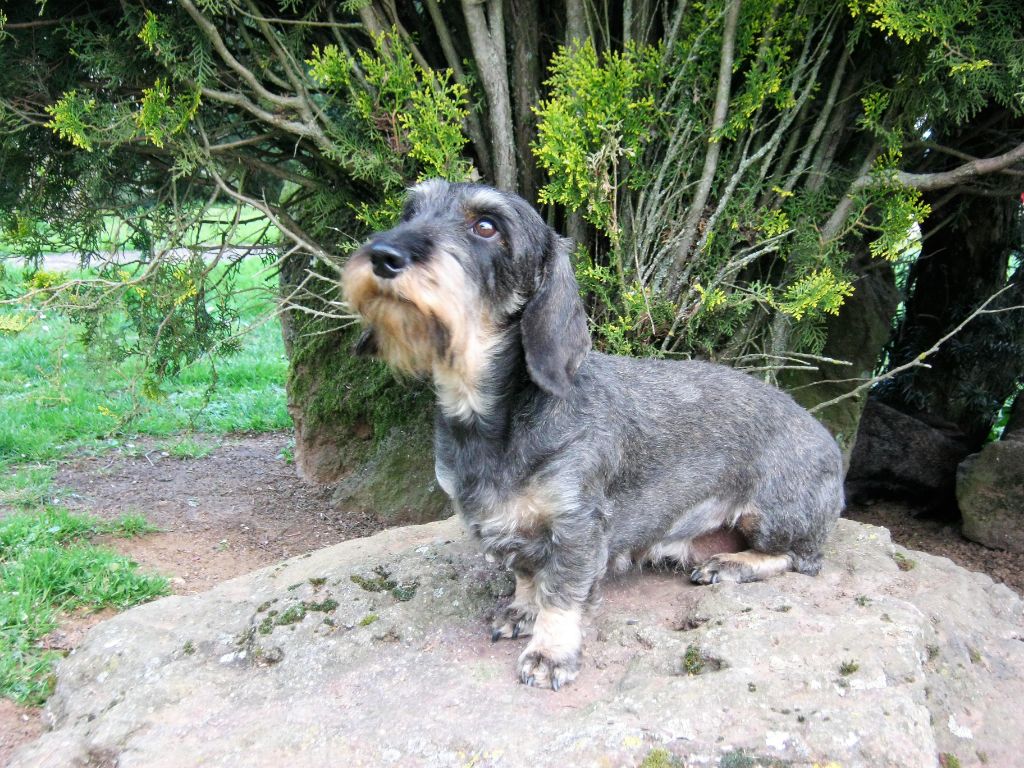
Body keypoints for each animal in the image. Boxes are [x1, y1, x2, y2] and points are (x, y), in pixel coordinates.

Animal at [339, 179, 843, 692]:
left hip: (773, 516)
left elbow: (561, 593)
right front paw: (522, 610)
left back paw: (732, 564)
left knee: (801, 558)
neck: (491, 418)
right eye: (409, 212)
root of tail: (827, 440)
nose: (383, 255)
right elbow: (528, 575)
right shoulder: (509, 527)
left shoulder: (578, 525)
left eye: (486, 226)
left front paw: (550, 652)